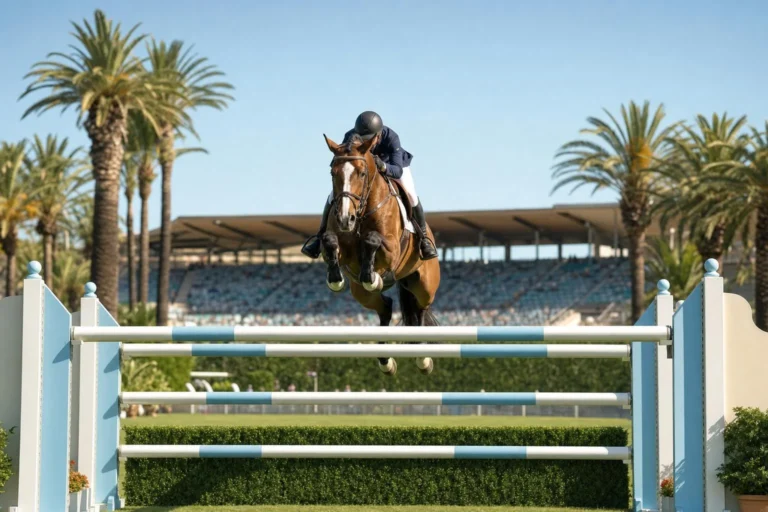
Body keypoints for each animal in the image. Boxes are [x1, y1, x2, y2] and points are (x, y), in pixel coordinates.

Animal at [320, 133, 441, 376]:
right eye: (333, 172)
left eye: (362, 173)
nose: (345, 219)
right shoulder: (343, 247)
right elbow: (330, 241)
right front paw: (336, 278)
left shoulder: (392, 249)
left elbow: (372, 240)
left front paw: (373, 275)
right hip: (361, 293)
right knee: (385, 307)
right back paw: (386, 360)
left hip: (424, 285)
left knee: (421, 309)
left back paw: (422, 358)